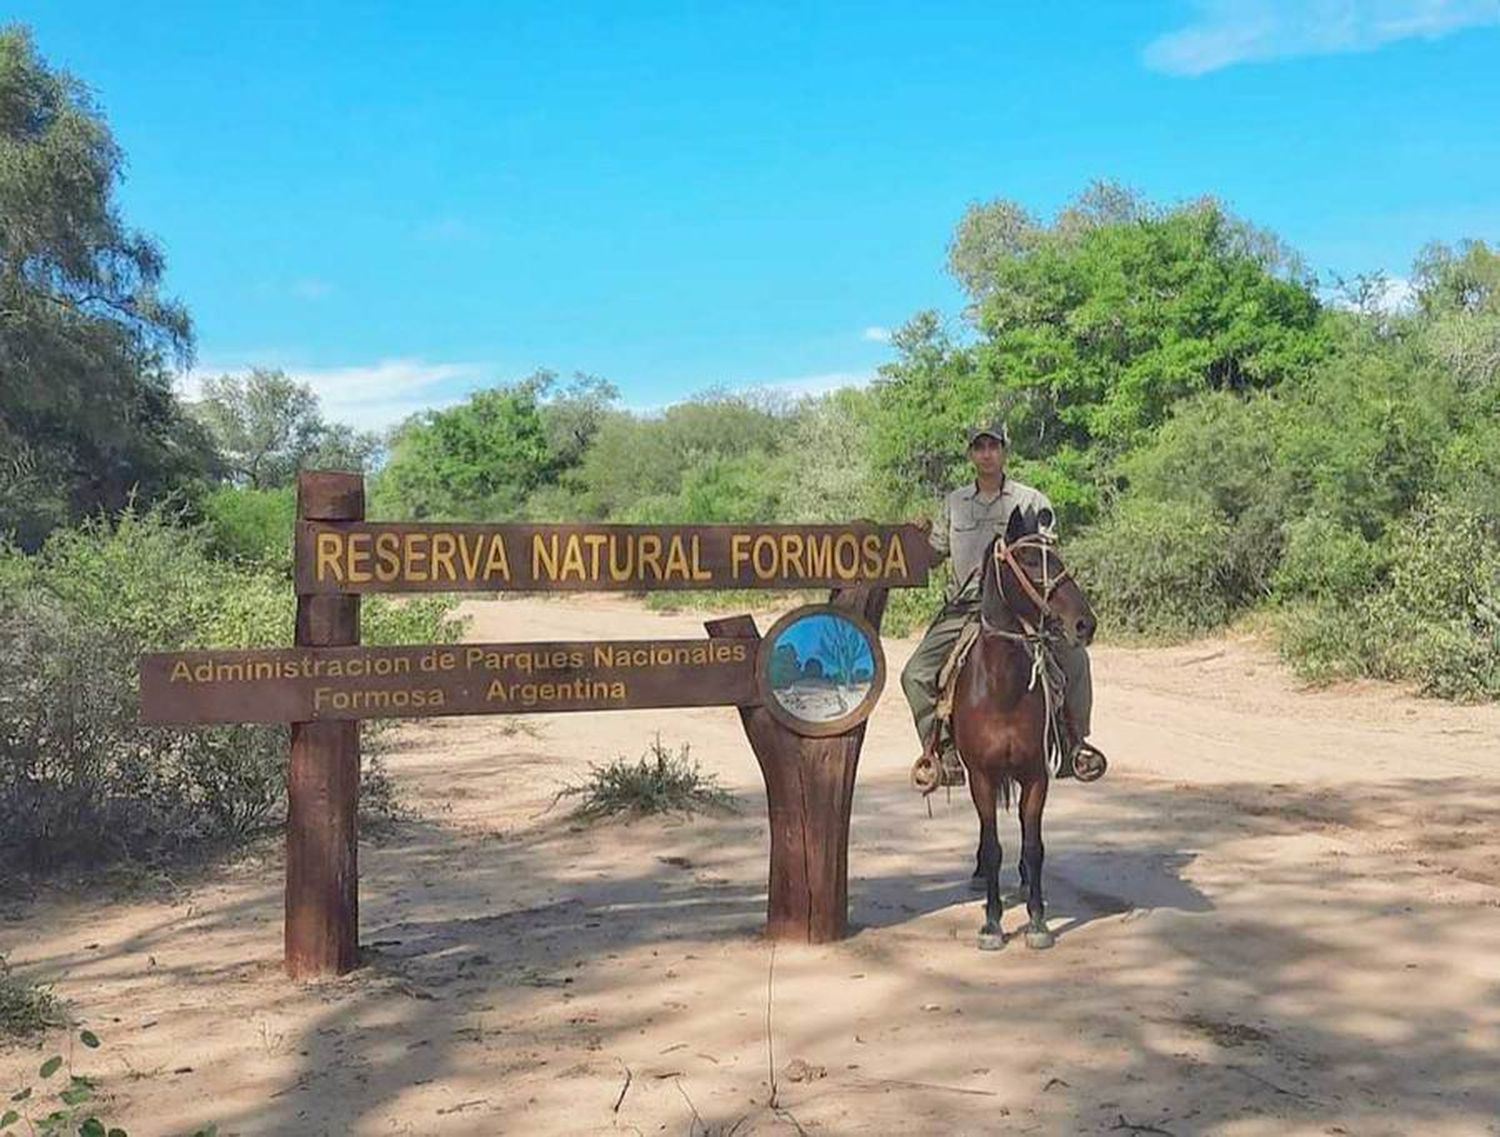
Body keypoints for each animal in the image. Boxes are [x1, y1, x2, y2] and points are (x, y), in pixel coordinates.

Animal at [954, 507, 1098, 954]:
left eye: (1058, 556)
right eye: (1032, 561)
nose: (1085, 624)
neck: (1002, 689)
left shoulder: (1036, 775)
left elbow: (1034, 847)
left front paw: (1037, 921)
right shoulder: (982, 777)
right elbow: (993, 845)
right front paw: (991, 924)